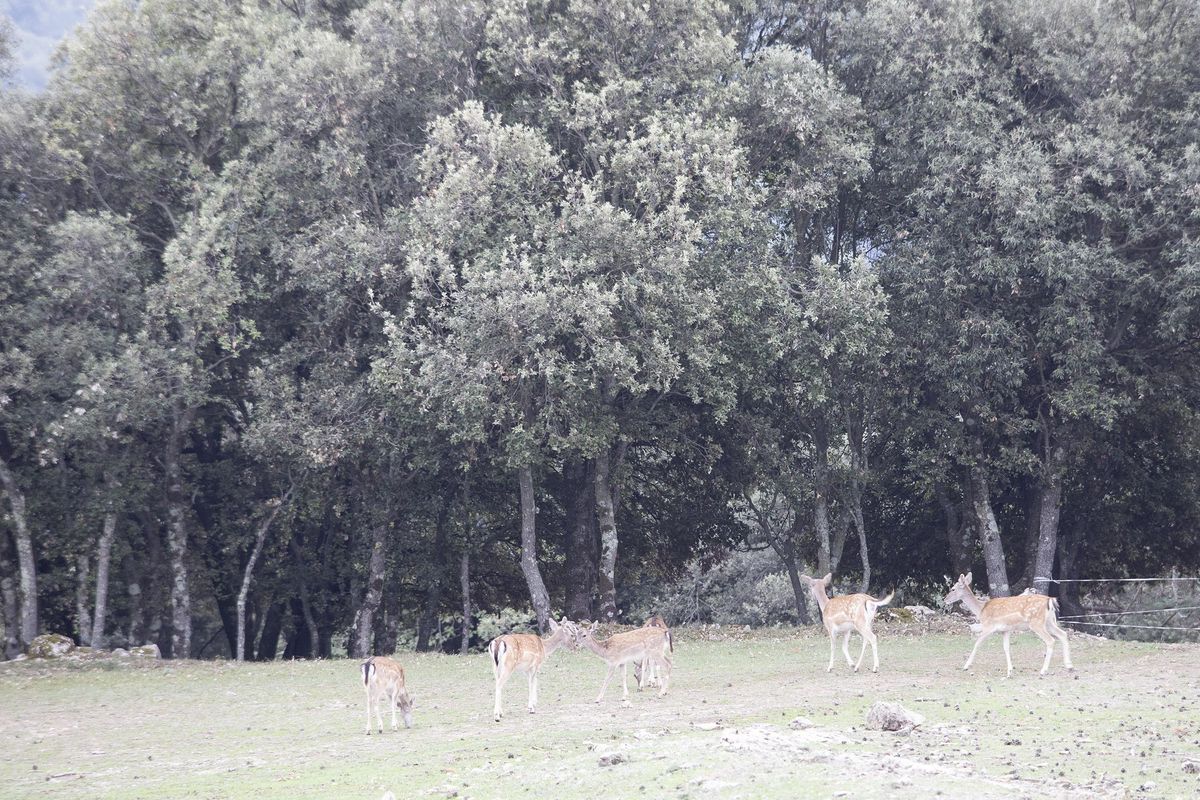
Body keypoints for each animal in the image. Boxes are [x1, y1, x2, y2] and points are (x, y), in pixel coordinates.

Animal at [940, 573, 1075, 681]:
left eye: (953, 589)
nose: (944, 599)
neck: (981, 610)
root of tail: (1051, 600)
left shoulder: (988, 626)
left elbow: (977, 643)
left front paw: (966, 666)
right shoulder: (1005, 630)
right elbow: (1006, 648)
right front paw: (1010, 672)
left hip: (1036, 623)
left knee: (1051, 640)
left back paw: (1044, 671)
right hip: (1049, 622)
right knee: (1063, 634)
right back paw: (1069, 666)